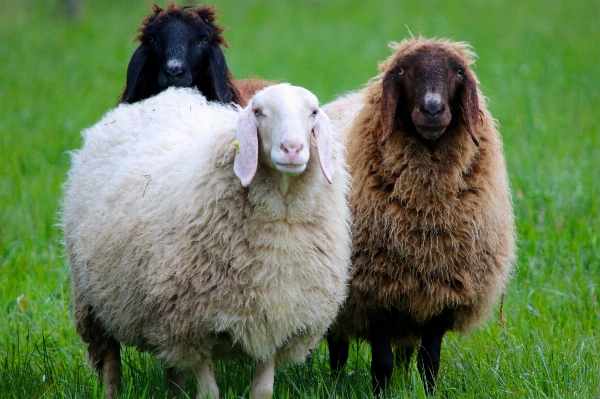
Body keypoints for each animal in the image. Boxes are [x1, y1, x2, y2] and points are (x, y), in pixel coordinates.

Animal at [61, 85, 352, 399]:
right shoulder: (191, 328)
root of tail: (157, 99)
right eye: (258, 112)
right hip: (93, 303)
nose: (292, 149)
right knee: (110, 362)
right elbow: (209, 393)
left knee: (173, 369)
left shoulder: (275, 321)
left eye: (313, 112)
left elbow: (263, 391)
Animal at [324, 37, 516, 396]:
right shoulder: (375, 290)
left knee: (404, 350)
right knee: (338, 349)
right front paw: (381, 393)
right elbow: (381, 363)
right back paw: (335, 382)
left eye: (458, 72)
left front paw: (428, 393)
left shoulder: (443, 291)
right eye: (402, 70)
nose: (432, 110)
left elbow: (429, 362)